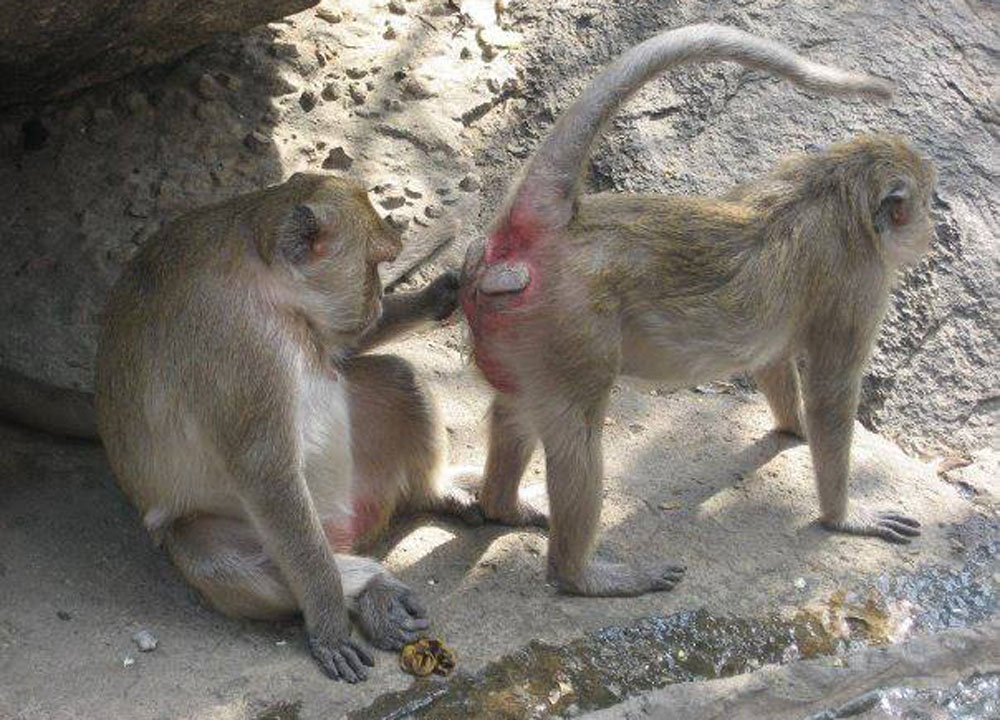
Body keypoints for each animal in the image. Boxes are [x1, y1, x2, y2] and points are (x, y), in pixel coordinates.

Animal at [95, 172, 483, 682]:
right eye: (374, 263)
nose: (378, 296)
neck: (266, 277)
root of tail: (347, 527)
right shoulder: (239, 346)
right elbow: (267, 476)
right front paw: (330, 625)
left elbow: (346, 345)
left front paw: (438, 295)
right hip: (214, 532)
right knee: (229, 566)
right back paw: (366, 586)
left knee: (401, 379)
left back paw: (433, 494)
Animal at [459, 24, 932, 598]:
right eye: (927, 203)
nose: (932, 232)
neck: (836, 185)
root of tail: (551, 229)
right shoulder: (860, 279)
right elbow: (831, 392)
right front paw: (844, 517)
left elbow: (773, 360)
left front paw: (793, 428)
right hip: (568, 326)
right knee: (577, 430)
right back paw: (580, 576)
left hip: (514, 328)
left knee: (517, 408)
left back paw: (501, 507)